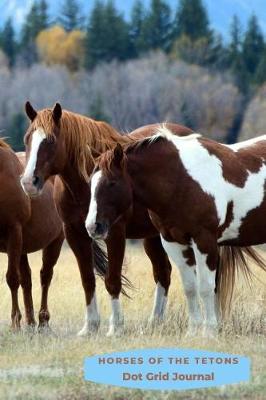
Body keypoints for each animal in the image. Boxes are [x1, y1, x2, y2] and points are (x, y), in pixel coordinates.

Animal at [0, 139, 65, 330]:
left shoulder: (13, 231)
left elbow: (12, 278)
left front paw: (15, 322)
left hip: (54, 242)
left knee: (45, 276)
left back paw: (42, 320)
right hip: (21, 248)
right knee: (27, 280)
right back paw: (30, 322)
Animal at [19, 101, 192, 336]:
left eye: (51, 140)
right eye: (27, 138)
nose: (29, 182)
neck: (85, 185)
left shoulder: (114, 233)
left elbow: (113, 280)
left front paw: (115, 327)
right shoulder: (75, 233)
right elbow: (88, 279)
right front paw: (90, 326)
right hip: (153, 237)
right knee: (163, 272)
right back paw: (155, 321)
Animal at [85, 127, 266, 334]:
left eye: (112, 182)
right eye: (91, 183)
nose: (92, 226)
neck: (181, 180)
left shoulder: (205, 241)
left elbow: (206, 287)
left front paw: (209, 331)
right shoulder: (174, 243)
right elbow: (190, 287)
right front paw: (193, 330)